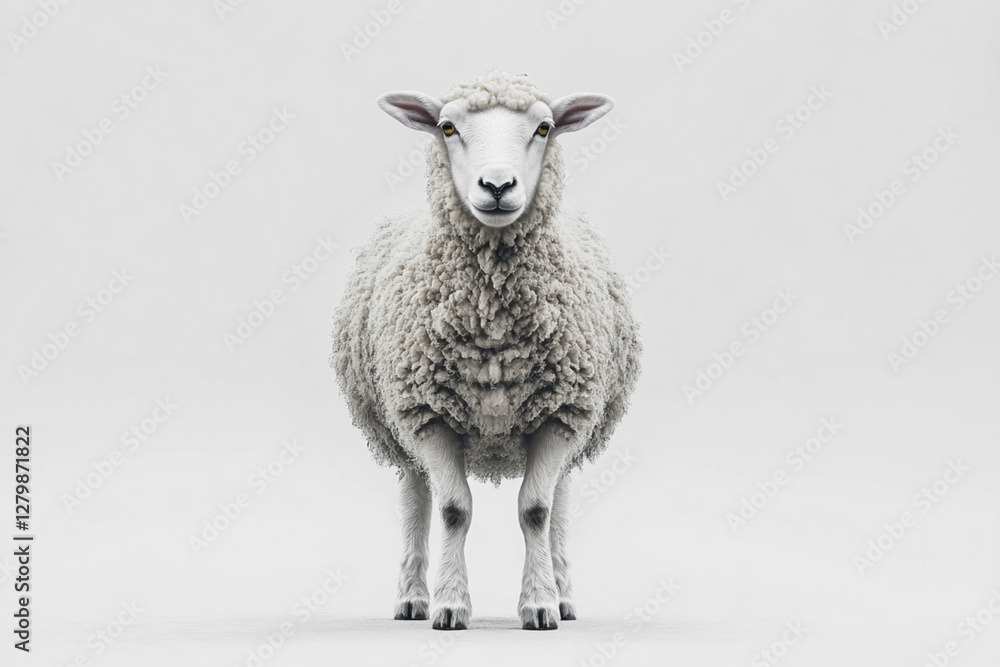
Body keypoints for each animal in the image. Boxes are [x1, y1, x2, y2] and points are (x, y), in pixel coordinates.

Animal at [330, 71, 641, 631]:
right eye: (447, 127)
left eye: (545, 127)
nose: (497, 187)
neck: (491, 314)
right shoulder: (426, 412)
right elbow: (453, 509)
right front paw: (450, 604)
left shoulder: (562, 411)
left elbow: (536, 510)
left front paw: (540, 604)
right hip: (398, 426)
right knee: (416, 501)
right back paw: (412, 597)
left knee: (558, 502)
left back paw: (564, 592)